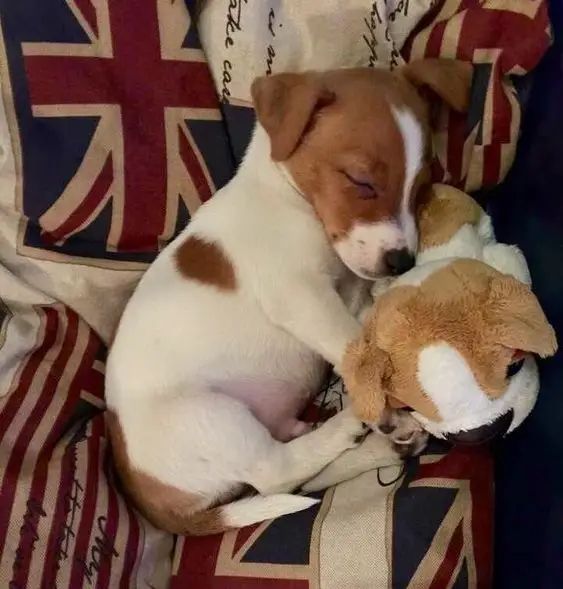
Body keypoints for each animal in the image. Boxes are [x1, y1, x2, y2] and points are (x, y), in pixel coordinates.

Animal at [104, 58, 472, 532]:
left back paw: (379, 446)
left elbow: (365, 318)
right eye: (361, 182)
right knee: (276, 473)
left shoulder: (347, 289)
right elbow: (354, 347)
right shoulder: (300, 295)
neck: (285, 198)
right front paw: (380, 399)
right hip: (213, 418)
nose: (402, 262)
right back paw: (351, 423)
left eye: (421, 186)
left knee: (293, 479)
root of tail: (147, 500)